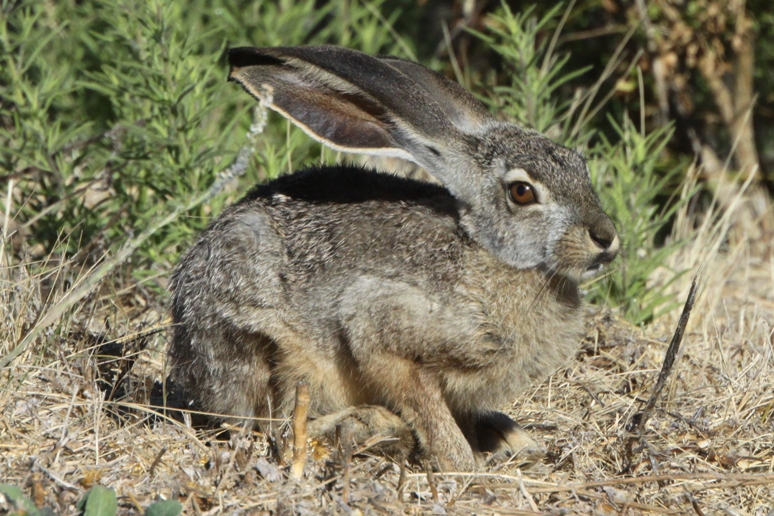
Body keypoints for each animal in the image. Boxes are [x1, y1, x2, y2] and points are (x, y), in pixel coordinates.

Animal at [169, 45, 619, 472]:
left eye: (580, 166)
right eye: (522, 192)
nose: (606, 238)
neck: (486, 249)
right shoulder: (377, 325)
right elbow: (428, 410)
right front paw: (463, 467)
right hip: (261, 345)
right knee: (271, 425)